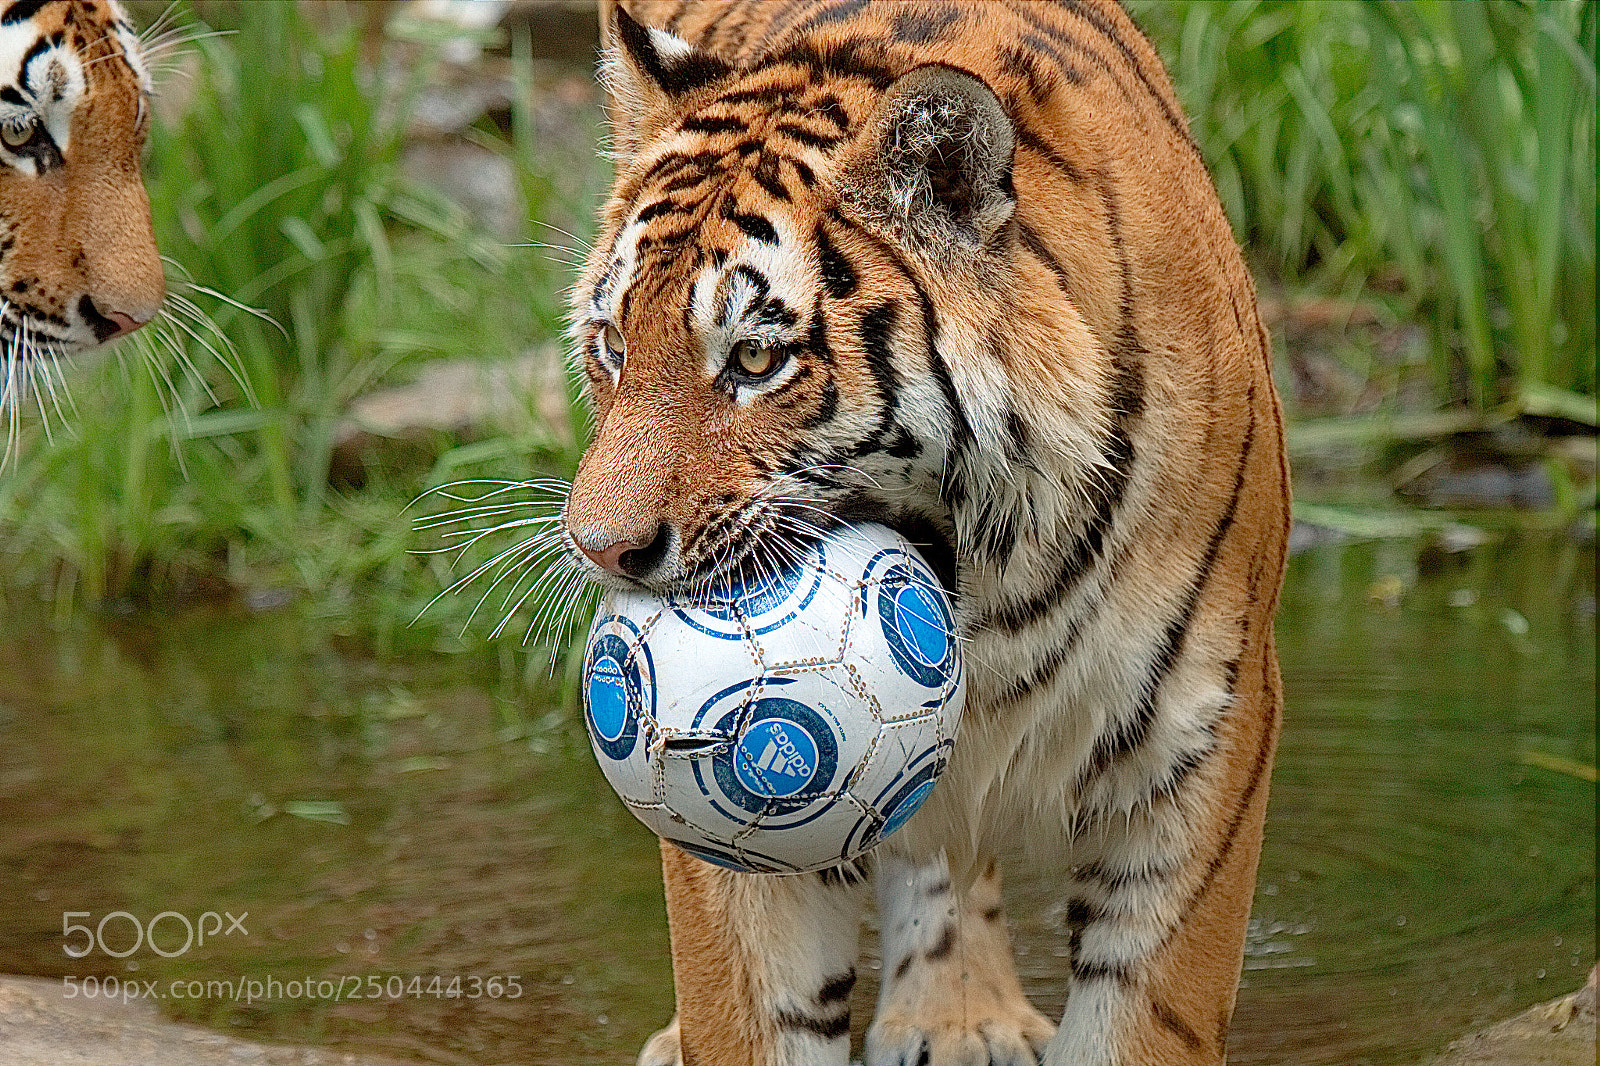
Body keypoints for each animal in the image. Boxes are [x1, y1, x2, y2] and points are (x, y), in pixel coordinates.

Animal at [561, 2, 1290, 1063]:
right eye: (613, 347)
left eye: (755, 359)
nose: (601, 549)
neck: (988, 583)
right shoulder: (709, 808)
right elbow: (754, 1014)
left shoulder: (1204, 739)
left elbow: (1144, 1014)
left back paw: (959, 1015)